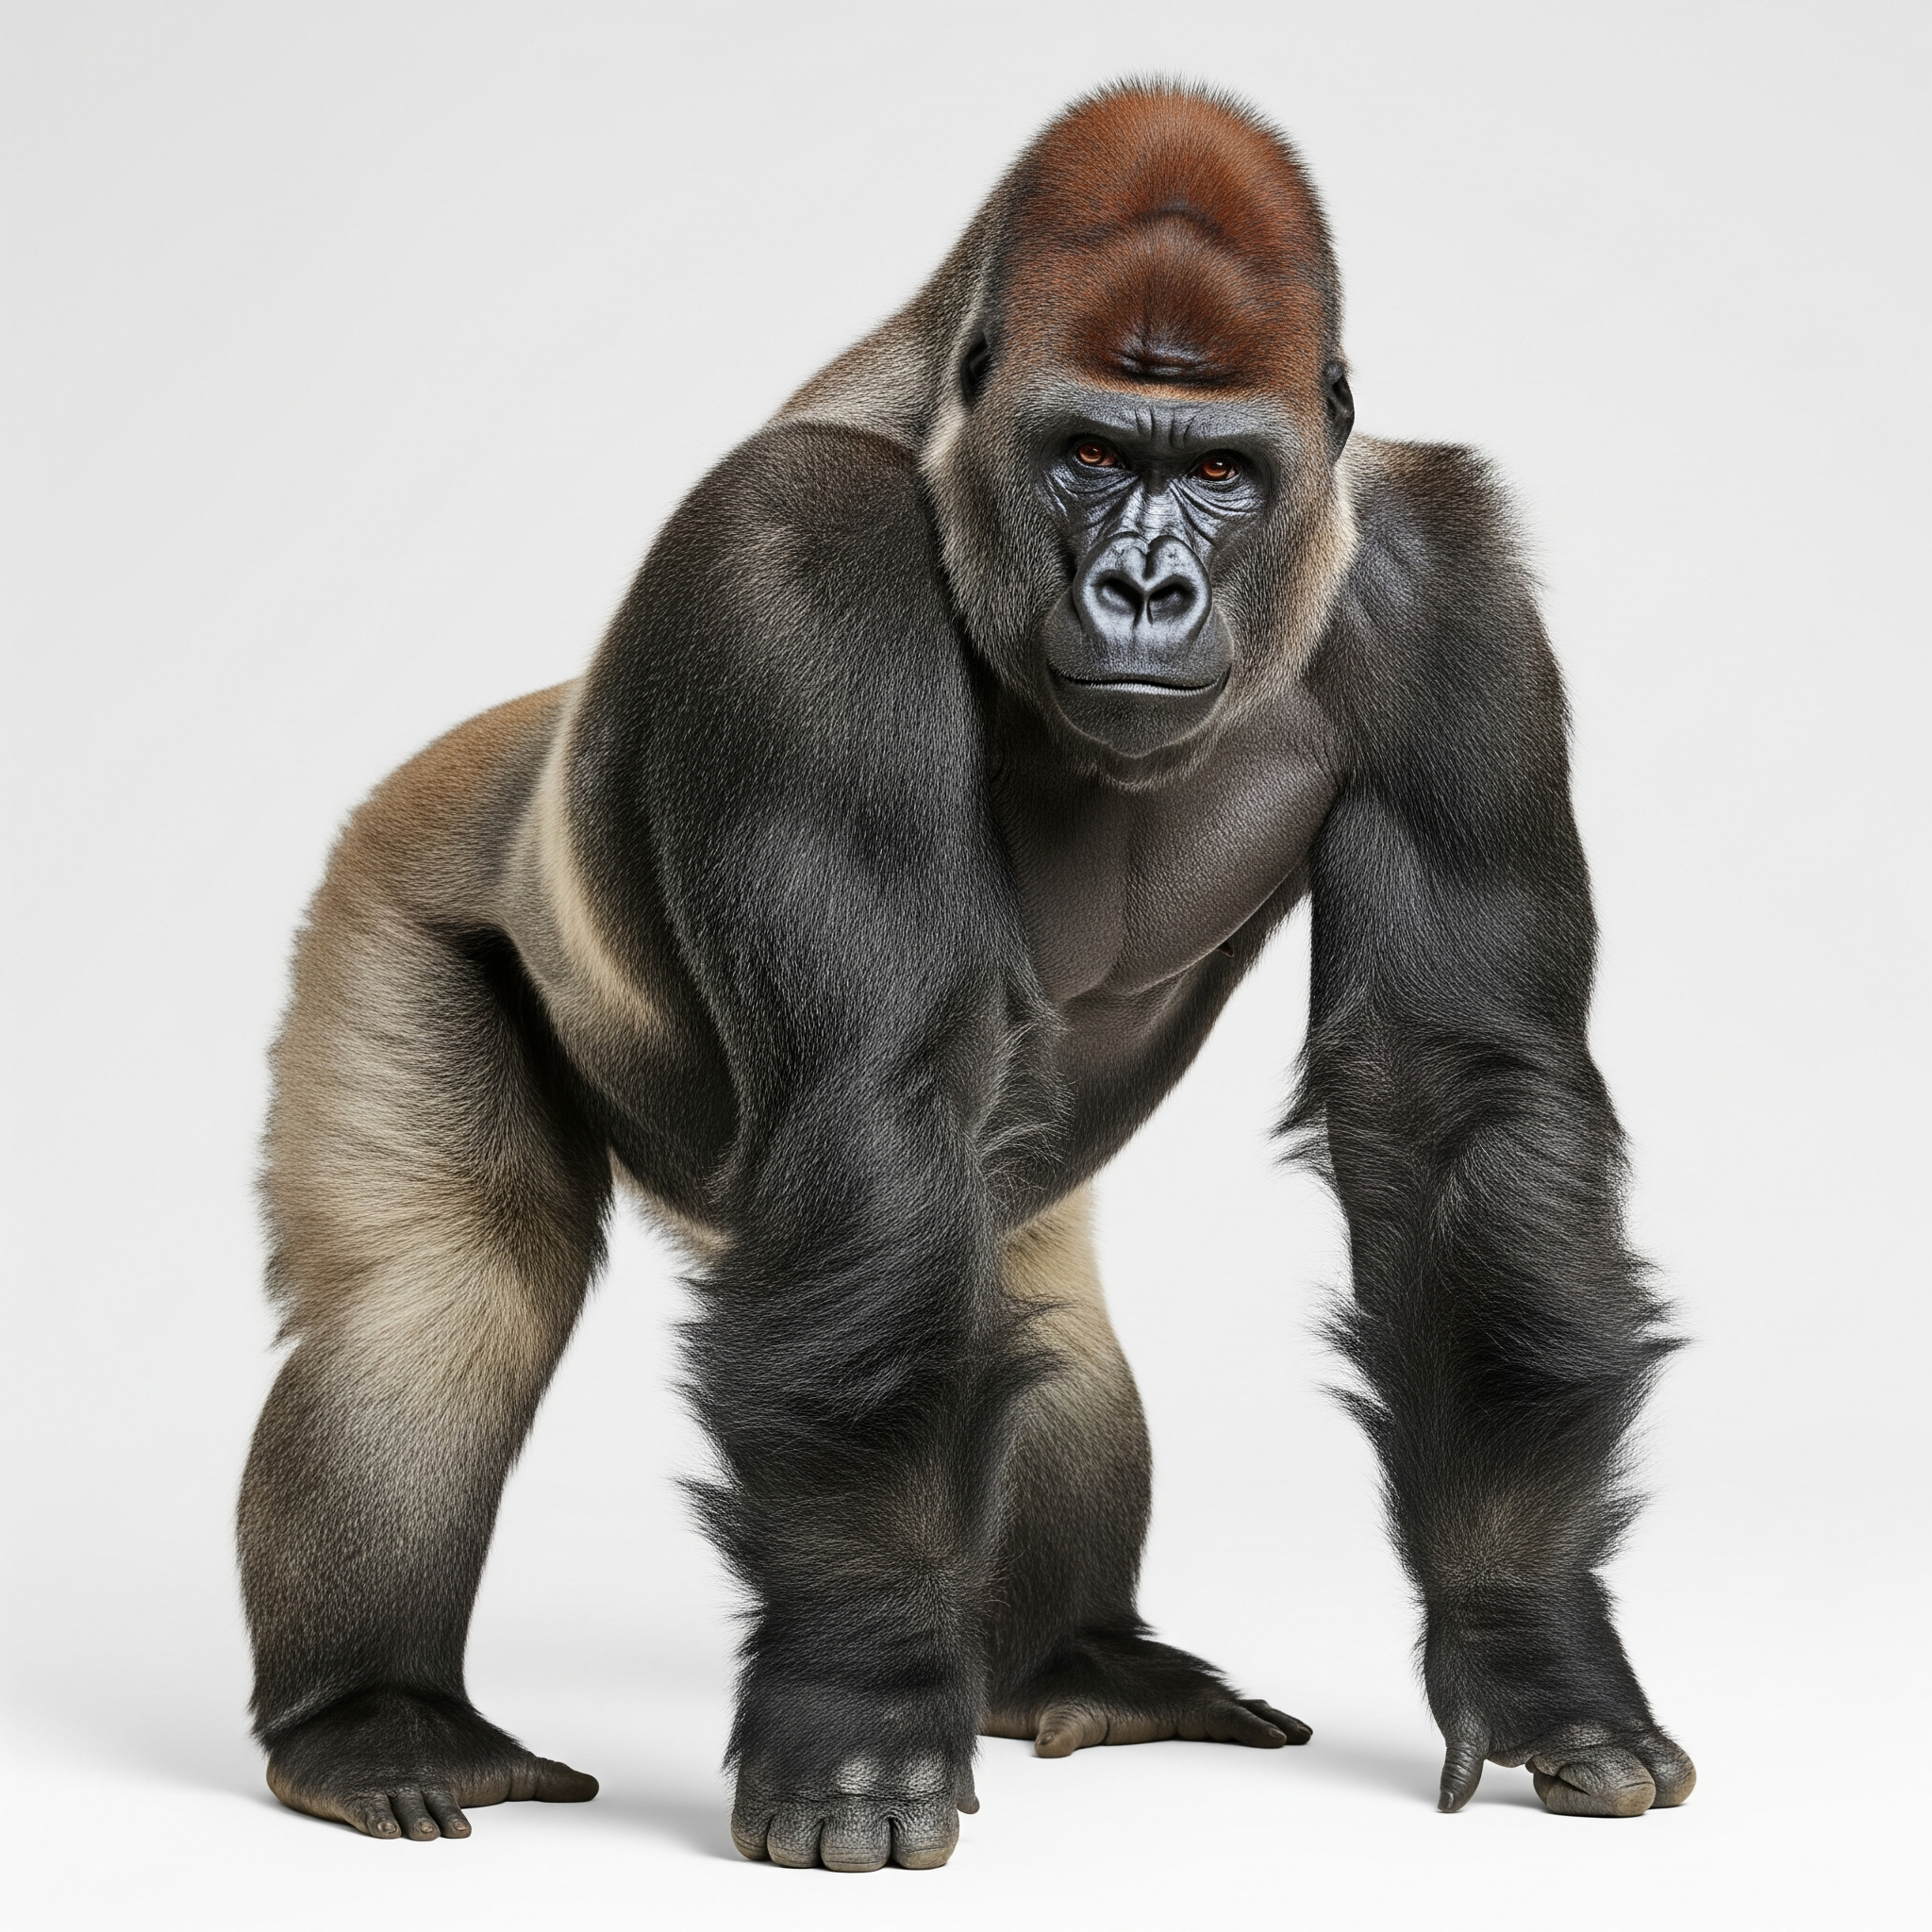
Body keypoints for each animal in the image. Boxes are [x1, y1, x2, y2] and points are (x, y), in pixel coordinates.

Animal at [237, 82, 1694, 1869]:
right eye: (1091, 455)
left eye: (1222, 470)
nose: (1143, 585)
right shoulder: (796, 564)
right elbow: (885, 1087)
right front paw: (862, 1699)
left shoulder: (1452, 594)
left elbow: (1452, 1095)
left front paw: (1527, 1632)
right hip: (398, 863)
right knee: (443, 1295)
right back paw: (368, 1715)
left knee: (1035, 1306)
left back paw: (1077, 1657)